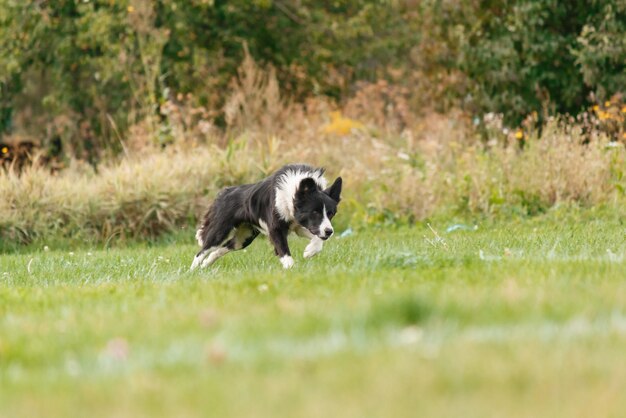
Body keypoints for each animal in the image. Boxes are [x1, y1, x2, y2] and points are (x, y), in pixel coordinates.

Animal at [190, 162, 342, 270]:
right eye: (315, 212)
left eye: (331, 213)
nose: (329, 231)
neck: (292, 191)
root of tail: (226, 192)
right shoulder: (276, 228)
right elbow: (284, 250)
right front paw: (291, 269)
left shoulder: (300, 226)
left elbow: (318, 239)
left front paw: (309, 251)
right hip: (220, 230)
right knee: (202, 251)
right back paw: (193, 271)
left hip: (244, 237)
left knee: (222, 248)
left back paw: (206, 264)